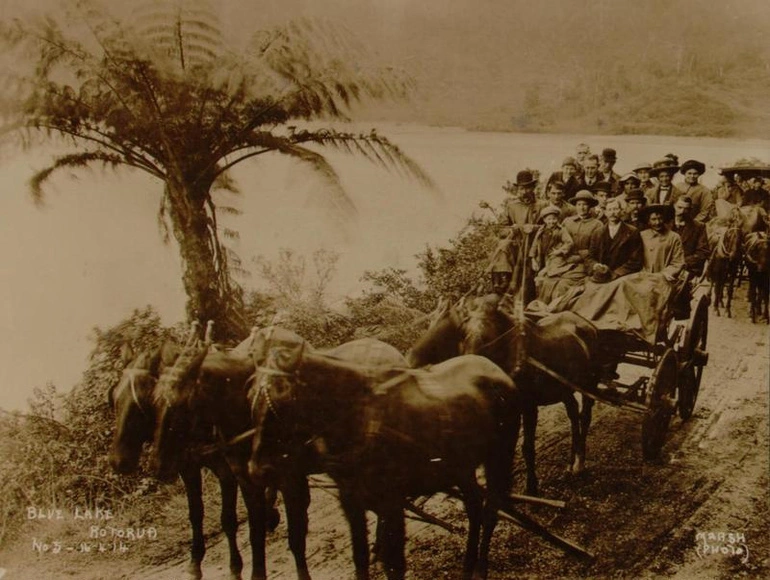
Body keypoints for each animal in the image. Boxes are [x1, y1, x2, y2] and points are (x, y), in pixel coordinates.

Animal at [107, 342, 252, 580]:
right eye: (114, 398)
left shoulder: (226, 470)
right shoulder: (188, 468)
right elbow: (195, 514)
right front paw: (194, 564)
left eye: (142, 401)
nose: (118, 461)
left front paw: (235, 567)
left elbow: (228, 519)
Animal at [249, 326, 520, 580]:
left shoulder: (391, 500)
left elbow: (394, 564)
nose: (259, 468)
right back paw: (467, 566)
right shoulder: (351, 500)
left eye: (283, 394)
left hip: (500, 457)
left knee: (490, 509)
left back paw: (480, 568)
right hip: (460, 468)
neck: (363, 416)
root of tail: (495, 369)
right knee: (474, 508)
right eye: (251, 396)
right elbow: (360, 557)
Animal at [408, 292, 600, 496]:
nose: (410, 360)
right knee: (573, 413)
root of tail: (584, 322)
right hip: (565, 388)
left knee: (585, 417)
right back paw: (572, 462)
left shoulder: (528, 407)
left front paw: (531, 487)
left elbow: (526, 448)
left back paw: (580, 463)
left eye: (448, 330)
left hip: (589, 385)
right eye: (431, 323)